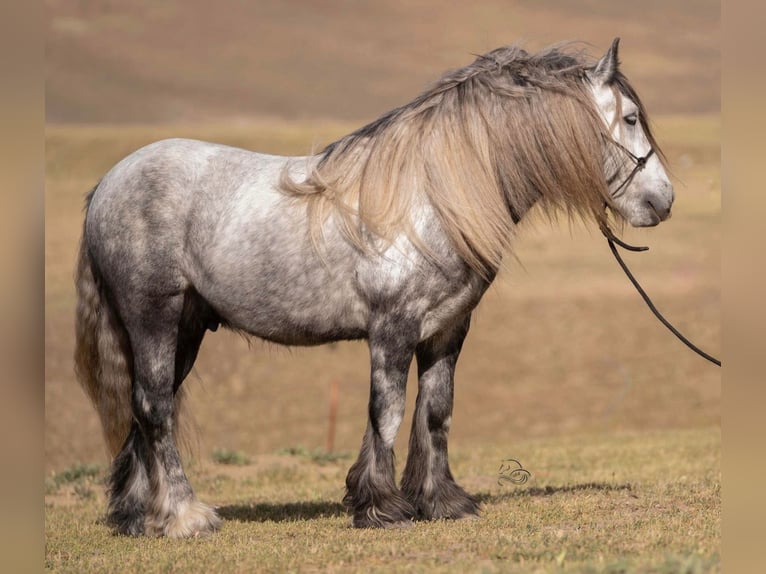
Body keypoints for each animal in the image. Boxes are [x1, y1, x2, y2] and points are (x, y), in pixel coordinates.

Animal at [72, 38, 672, 536]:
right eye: (631, 118)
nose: (663, 201)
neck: (430, 197)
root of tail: (108, 184)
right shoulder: (392, 330)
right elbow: (387, 413)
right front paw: (381, 507)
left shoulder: (446, 331)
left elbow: (435, 412)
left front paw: (441, 502)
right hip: (154, 317)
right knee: (155, 406)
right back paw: (184, 516)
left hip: (187, 328)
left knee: (146, 407)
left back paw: (136, 515)